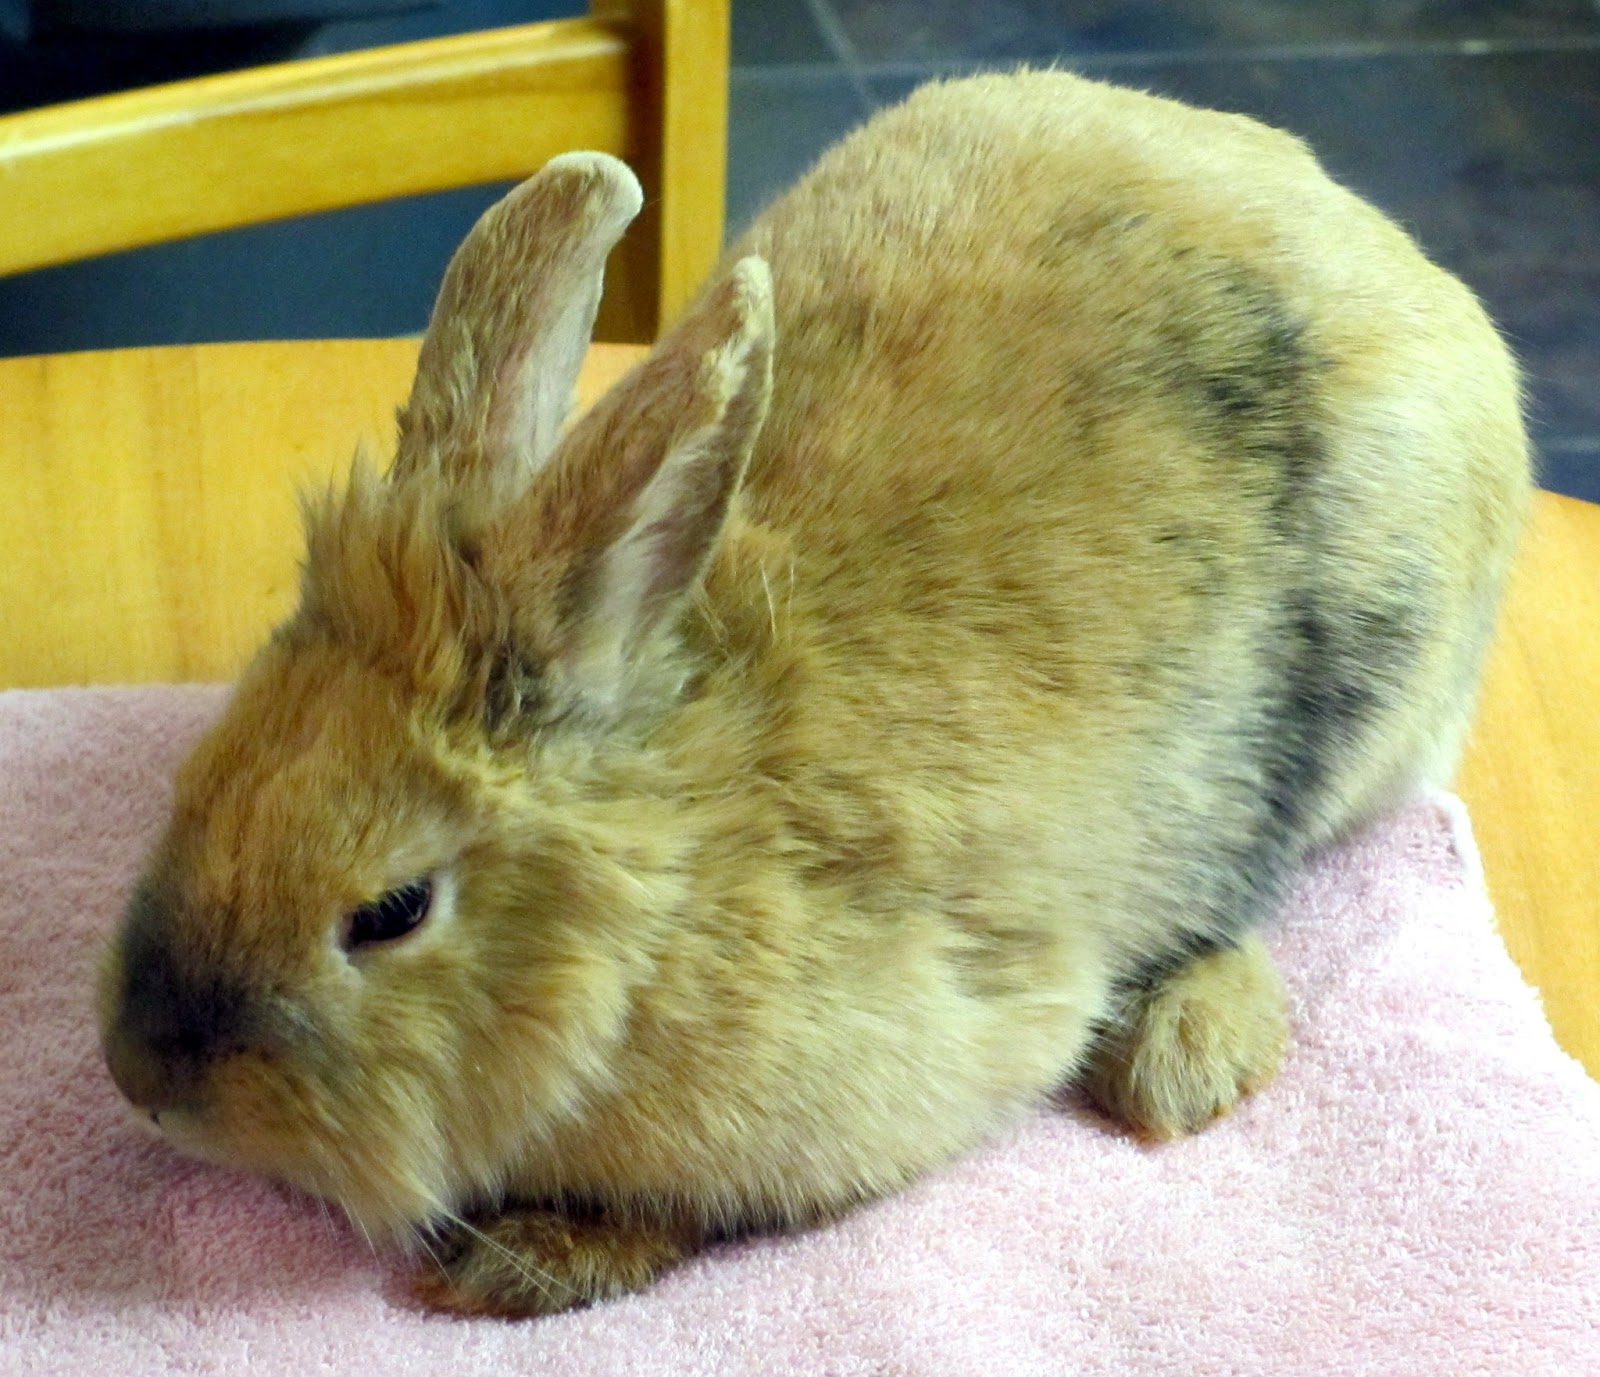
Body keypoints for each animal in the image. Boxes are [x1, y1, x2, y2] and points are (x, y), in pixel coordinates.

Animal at [99, 69, 1529, 1318]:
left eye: (391, 912)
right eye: (198, 779)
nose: (143, 1077)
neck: (665, 899)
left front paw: (527, 1265)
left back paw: (1181, 1058)